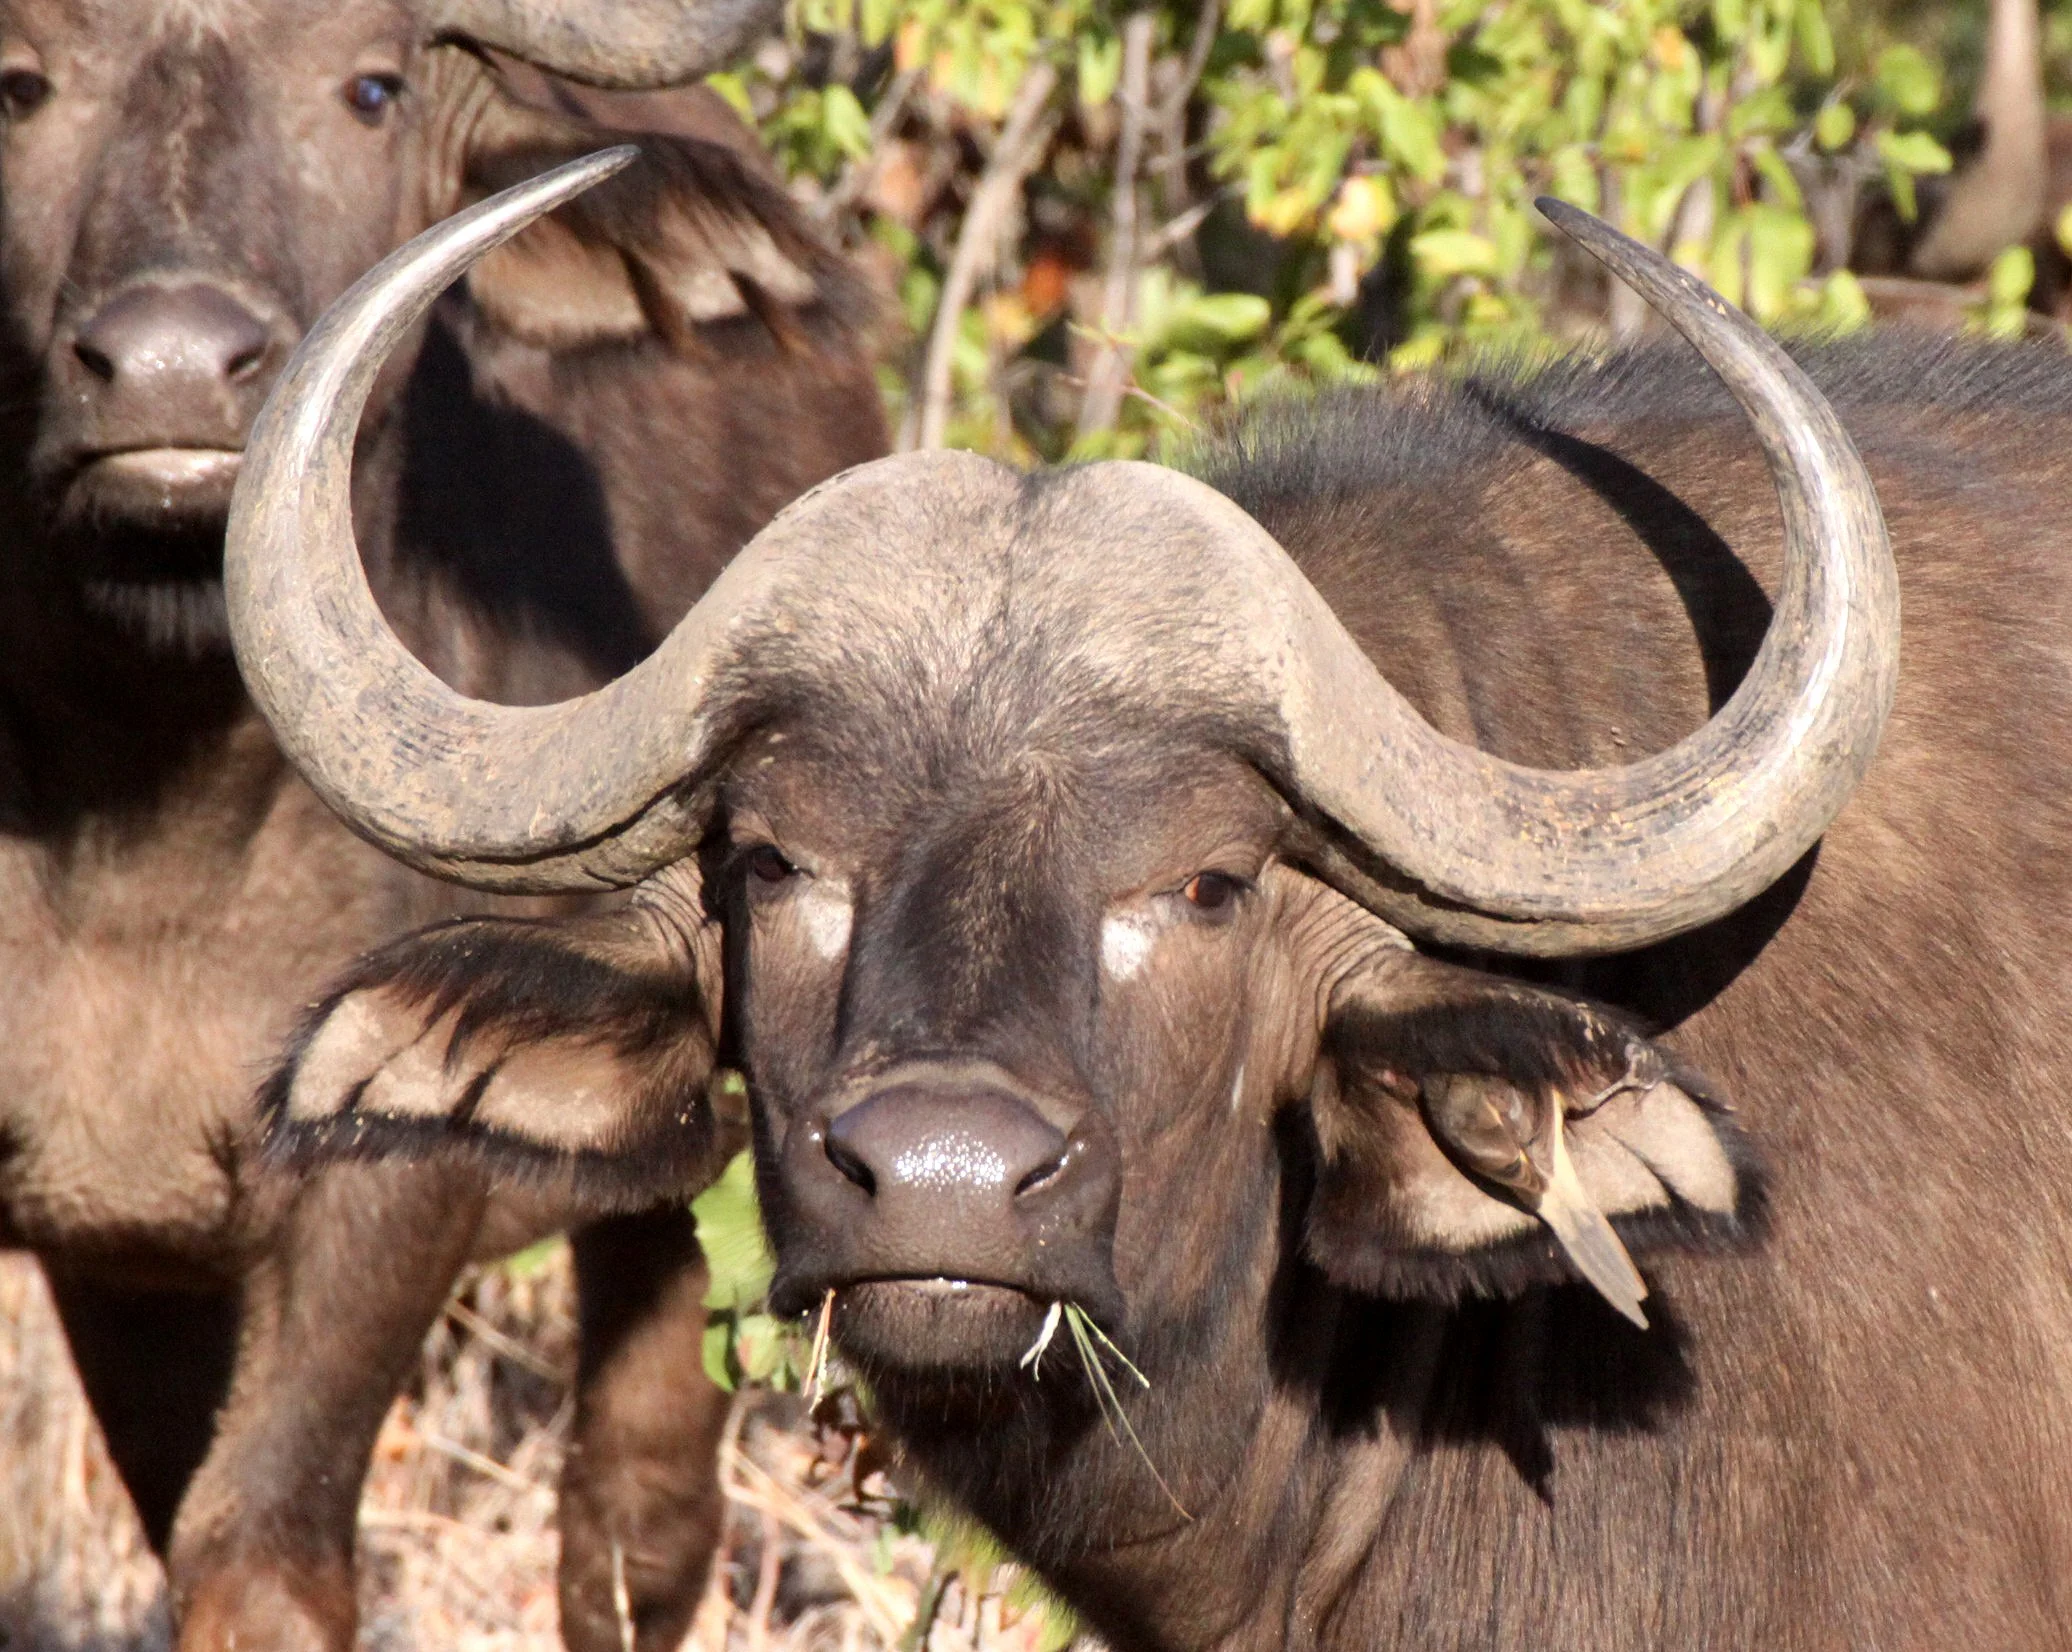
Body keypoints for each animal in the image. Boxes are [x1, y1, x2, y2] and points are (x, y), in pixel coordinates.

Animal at [0, 3, 882, 1649]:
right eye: (21, 84)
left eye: (371, 86)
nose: (171, 367)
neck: (139, 833)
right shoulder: (126, 1244)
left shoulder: (384, 1187)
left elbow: (264, 1559)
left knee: (635, 1517)